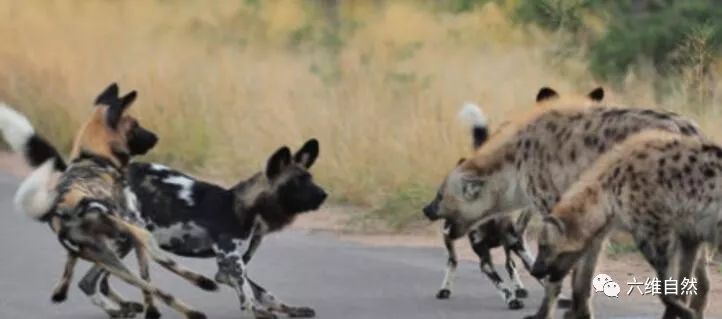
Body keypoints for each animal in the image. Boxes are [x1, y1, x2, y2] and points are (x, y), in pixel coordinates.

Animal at [532, 131, 716, 319]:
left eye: (544, 247)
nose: (534, 270)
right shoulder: (689, 233)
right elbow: (681, 283)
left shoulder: (655, 230)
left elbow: (667, 290)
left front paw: (688, 312)